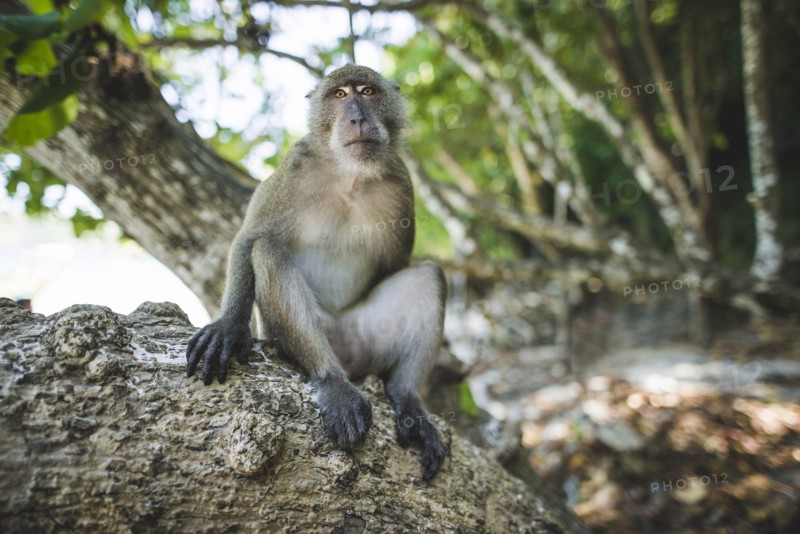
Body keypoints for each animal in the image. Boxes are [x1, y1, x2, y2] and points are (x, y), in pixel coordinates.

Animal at [186, 65, 448, 481]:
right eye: (339, 95)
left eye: (368, 92)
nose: (356, 117)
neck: (349, 175)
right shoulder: (293, 168)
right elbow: (250, 238)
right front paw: (228, 325)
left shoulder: (401, 184)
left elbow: (398, 267)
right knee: (269, 250)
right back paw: (332, 381)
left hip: (365, 336)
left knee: (429, 277)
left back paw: (407, 399)